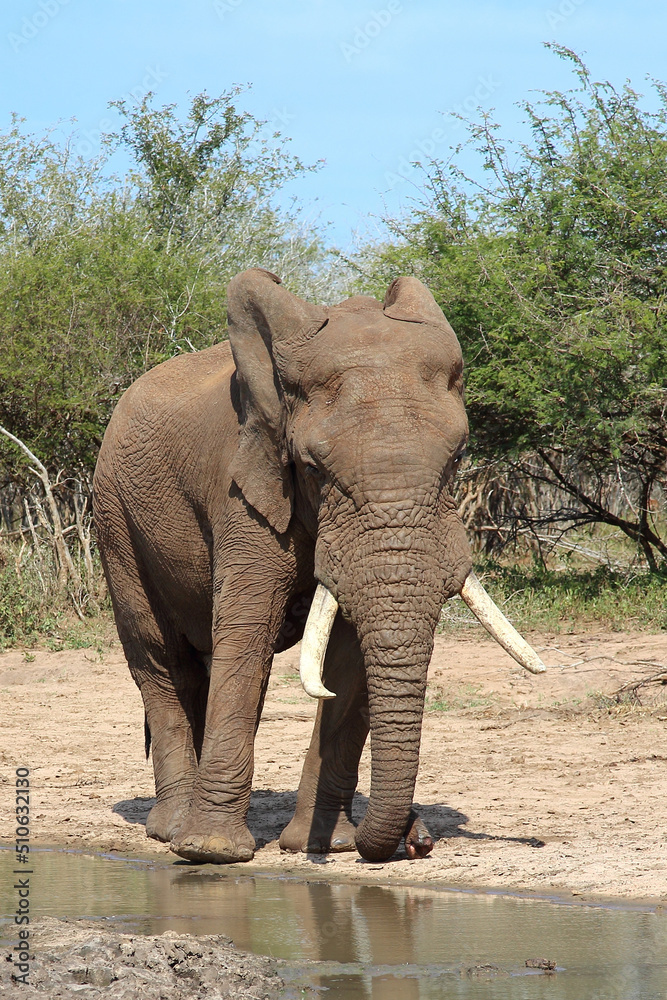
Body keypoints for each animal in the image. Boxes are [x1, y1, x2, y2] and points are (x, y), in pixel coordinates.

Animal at [93, 268, 544, 865]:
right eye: (313, 468)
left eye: (457, 459)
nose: (415, 843)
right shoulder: (247, 488)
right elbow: (247, 631)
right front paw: (211, 851)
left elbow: (349, 659)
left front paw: (329, 843)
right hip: (115, 518)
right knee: (160, 660)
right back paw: (169, 830)